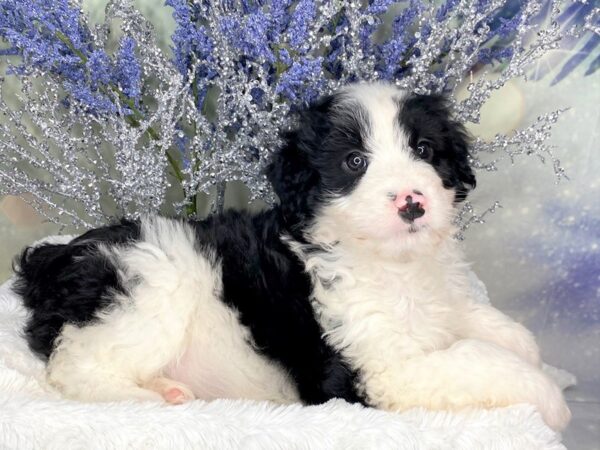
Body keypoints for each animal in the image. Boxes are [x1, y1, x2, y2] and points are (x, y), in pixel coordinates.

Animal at [11, 82, 568, 430]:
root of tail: (52, 261)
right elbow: (476, 357)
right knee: (76, 368)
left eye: (425, 150)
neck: (391, 265)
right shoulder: (375, 371)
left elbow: (488, 324)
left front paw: (533, 355)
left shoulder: (439, 302)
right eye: (354, 162)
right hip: (145, 292)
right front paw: (550, 399)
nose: (412, 202)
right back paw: (156, 398)